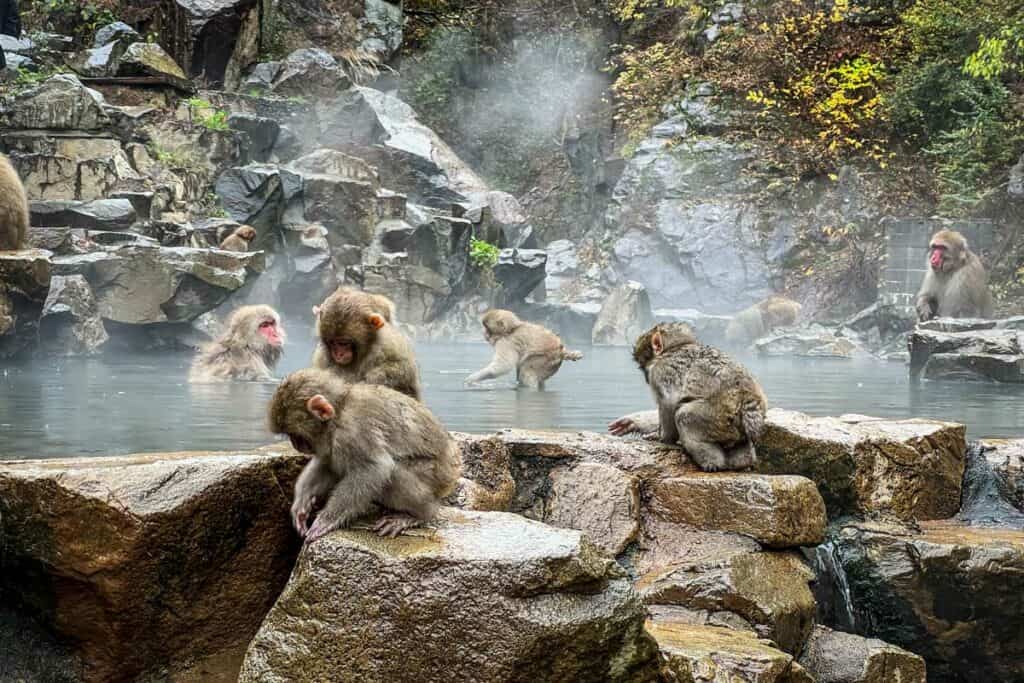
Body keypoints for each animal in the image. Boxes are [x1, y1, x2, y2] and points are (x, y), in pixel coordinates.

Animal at [272, 366, 464, 540]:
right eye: (291, 436)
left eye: (296, 435)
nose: (295, 444)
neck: (340, 409)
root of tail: (454, 466)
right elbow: (328, 465)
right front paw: (302, 502)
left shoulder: (354, 431)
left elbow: (373, 468)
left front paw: (326, 520)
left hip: (436, 474)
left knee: (394, 473)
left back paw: (419, 514)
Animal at [602, 323, 765, 473]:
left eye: (643, 367)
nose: (646, 379)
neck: (675, 347)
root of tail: (748, 399)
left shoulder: (660, 372)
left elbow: (668, 403)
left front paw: (662, 437)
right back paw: (743, 462)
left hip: (718, 418)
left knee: (683, 415)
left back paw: (712, 463)